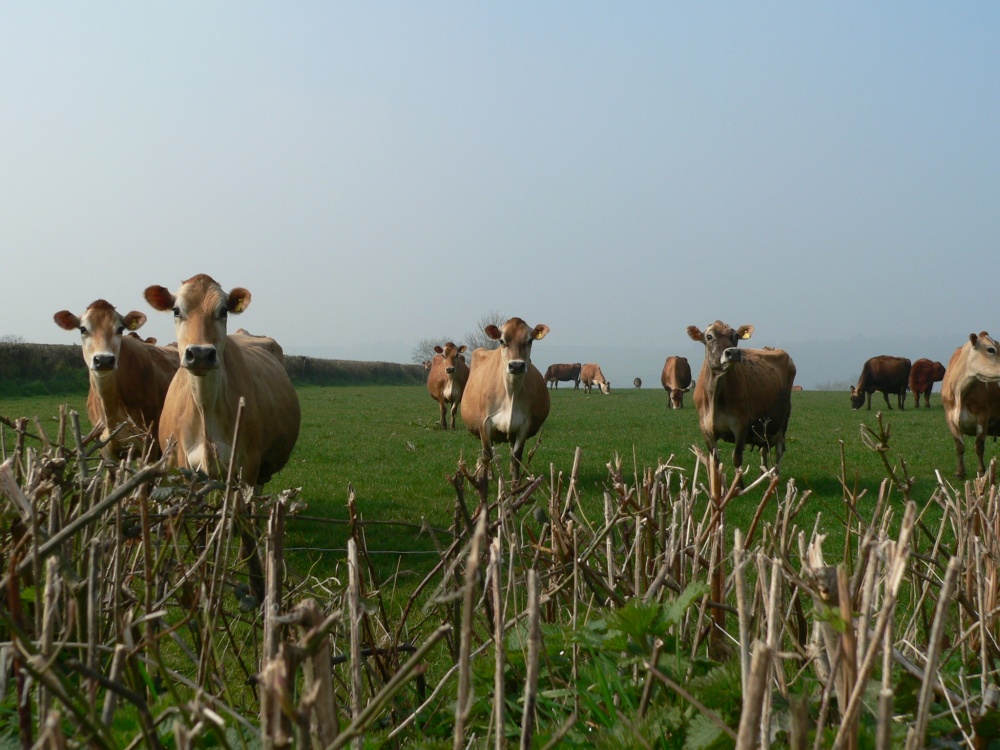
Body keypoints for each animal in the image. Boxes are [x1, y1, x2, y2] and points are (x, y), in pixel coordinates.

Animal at [460, 317, 550, 480]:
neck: (511, 394)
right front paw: (487, 479)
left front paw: (515, 482)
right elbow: (486, 454)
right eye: (502, 341)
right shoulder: (484, 422)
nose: (516, 365)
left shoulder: (524, 424)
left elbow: (516, 456)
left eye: (530, 340)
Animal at [687, 321, 796, 478]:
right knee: (764, 450)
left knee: (778, 452)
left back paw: (775, 476)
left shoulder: (741, 426)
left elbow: (737, 459)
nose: (733, 353)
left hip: (782, 423)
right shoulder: (705, 429)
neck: (715, 395)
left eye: (736, 336)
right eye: (709, 336)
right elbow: (715, 461)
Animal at [941, 332, 1000, 478]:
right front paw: (960, 472)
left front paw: (982, 471)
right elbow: (959, 446)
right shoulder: (950, 418)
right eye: (991, 349)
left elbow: (979, 447)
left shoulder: (983, 417)